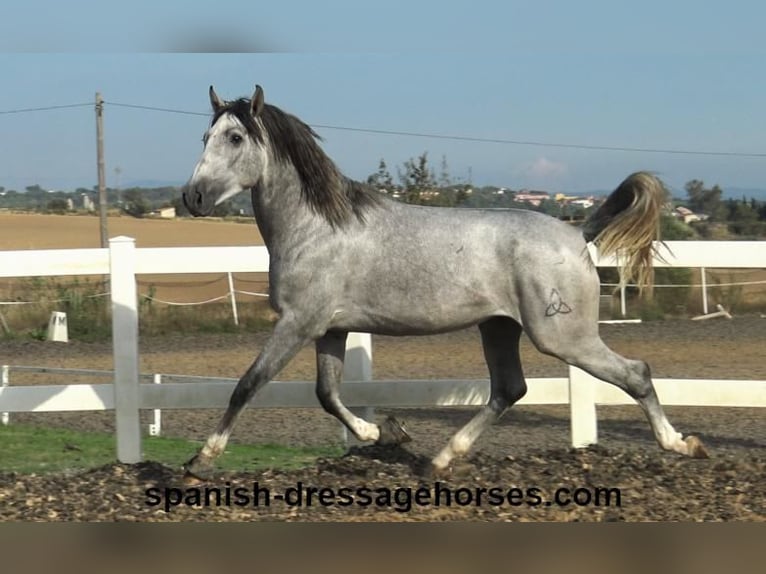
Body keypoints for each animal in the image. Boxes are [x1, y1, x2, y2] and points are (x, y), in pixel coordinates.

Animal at [180, 84, 708, 482]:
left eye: (234, 137)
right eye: (204, 135)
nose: (193, 196)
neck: (316, 228)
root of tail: (578, 233)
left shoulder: (297, 322)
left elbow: (248, 384)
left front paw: (199, 461)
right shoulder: (330, 328)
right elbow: (327, 395)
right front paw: (385, 433)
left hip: (562, 336)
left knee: (634, 373)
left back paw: (683, 444)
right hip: (499, 327)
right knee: (509, 389)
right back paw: (439, 460)